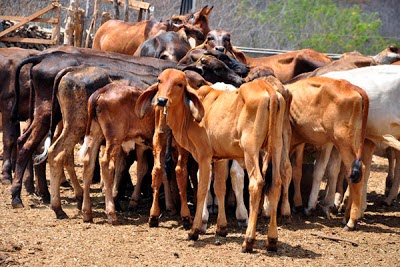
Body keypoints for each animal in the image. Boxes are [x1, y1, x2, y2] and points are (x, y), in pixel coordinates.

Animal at [137, 69, 288, 253]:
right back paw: (272, 240)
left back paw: (248, 240)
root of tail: (269, 90)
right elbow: (220, 187)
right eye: (159, 81)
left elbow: (202, 189)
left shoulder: (204, 155)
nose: (161, 100)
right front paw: (221, 228)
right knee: (276, 184)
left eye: (180, 84)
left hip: (251, 150)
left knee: (256, 183)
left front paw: (195, 229)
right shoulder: (221, 157)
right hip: (276, 147)